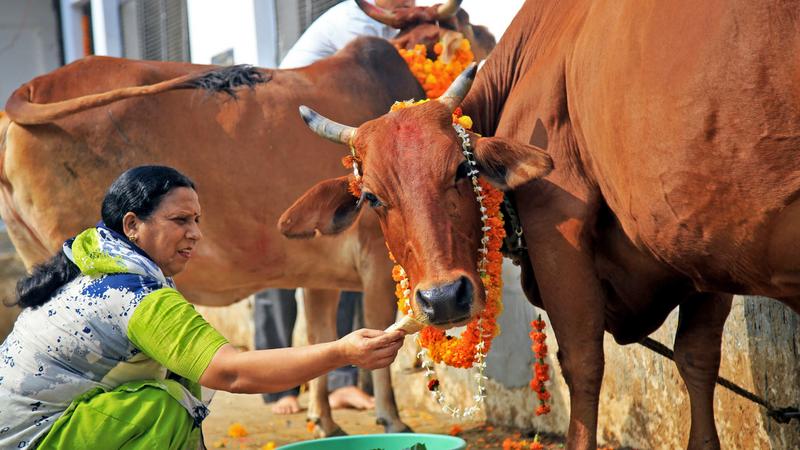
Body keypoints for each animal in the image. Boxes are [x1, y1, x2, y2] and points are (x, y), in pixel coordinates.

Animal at [0, 0, 494, 438]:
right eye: (468, 21)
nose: (490, 37)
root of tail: (32, 89)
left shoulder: (321, 271)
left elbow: (319, 334)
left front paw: (323, 420)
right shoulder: (375, 257)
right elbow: (378, 331)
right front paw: (390, 418)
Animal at [284, 1, 800, 448]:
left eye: (462, 170)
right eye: (372, 197)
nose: (443, 298)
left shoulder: (558, 230)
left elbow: (584, 363)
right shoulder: (703, 251)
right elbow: (697, 362)